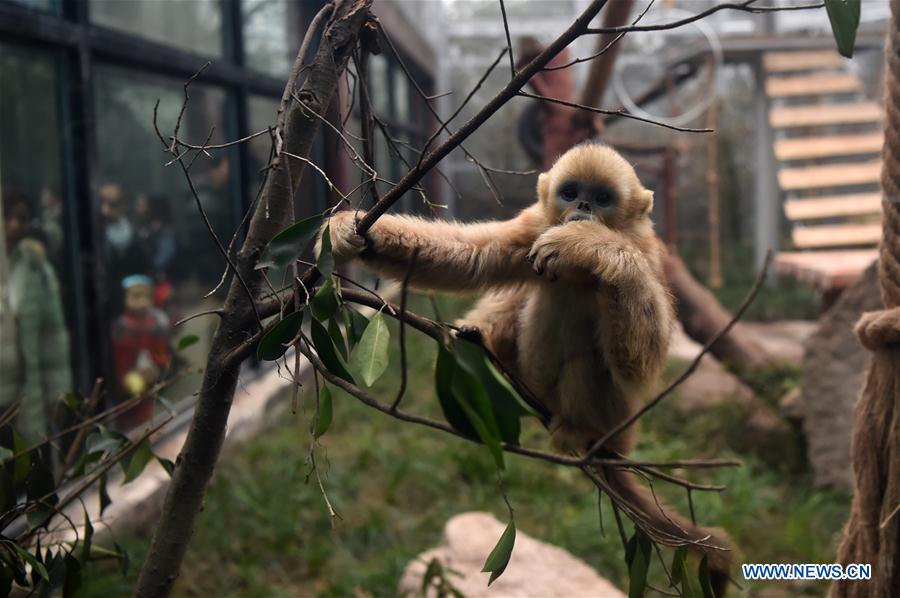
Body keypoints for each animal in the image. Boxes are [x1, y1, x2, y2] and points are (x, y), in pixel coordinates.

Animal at [321, 143, 733, 594]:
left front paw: (588, 244)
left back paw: (574, 429)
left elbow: (640, 366)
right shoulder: (534, 227)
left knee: (587, 360)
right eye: (571, 192)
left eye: (602, 198)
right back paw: (484, 338)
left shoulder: (646, 252)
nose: (584, 207)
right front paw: (358, 234)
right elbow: (472, 255)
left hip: (617, 418)